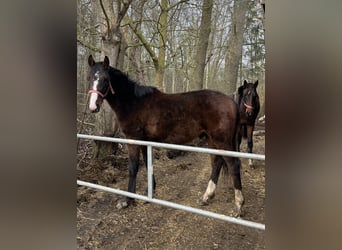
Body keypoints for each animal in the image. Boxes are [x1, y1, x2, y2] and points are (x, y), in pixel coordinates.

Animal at [87, 55, 244, 216]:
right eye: (89, 78)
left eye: (105, 79)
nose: (93, 107)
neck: (133, 102)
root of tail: (231, 101)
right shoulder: (145, 141)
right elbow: (148, 163)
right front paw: (148, 192)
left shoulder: (133, 139)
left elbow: (133, 167)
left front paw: (127, 200)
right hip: (211, 140)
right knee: (217, 163)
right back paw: (206, 197)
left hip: (222, 141)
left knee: (233, 165)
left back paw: (238, 206)